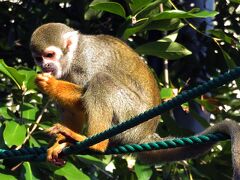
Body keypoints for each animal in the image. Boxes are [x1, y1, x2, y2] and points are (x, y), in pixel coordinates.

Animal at [30, 22, 240, 179]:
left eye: (50, 55)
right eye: (39, 58)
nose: (45, 66)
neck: (72, 58)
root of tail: (144, 134)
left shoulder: (87, 60)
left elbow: (83, 96)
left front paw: (51, 85)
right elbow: (74, 111)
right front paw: (59, 145)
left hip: (130, 116)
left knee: (101, 80)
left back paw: (94, 143)